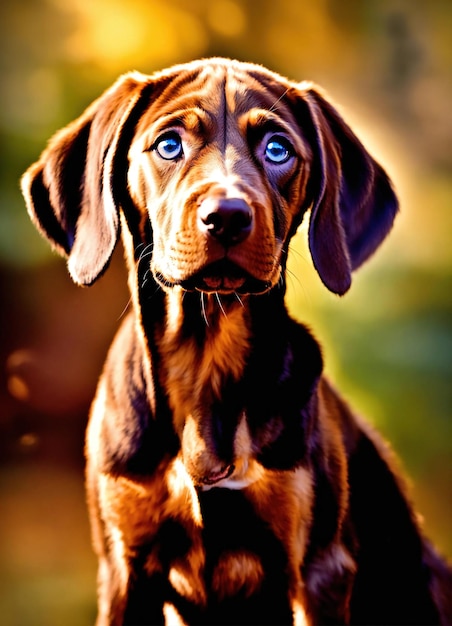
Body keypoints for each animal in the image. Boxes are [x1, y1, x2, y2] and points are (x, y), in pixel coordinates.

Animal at [22, 58, 452, 624]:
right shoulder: (124, 567)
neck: (207, 363)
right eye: (169, 145)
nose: (226, 216)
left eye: (278, 149)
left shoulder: (318, 569)